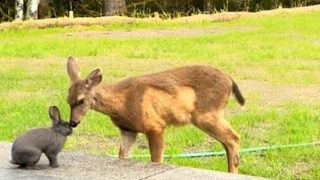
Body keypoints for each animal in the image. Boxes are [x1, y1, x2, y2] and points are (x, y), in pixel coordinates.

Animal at [65, 56, 245, 173]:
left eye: (81, 100)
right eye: (68, 100)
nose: (73, 122)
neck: (121, 104)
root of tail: (230, 81)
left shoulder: (155, 125)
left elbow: (156, 159)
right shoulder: (128, 130)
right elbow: (122, 155)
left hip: (206, 114)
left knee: (234, 138)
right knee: (228, 141)